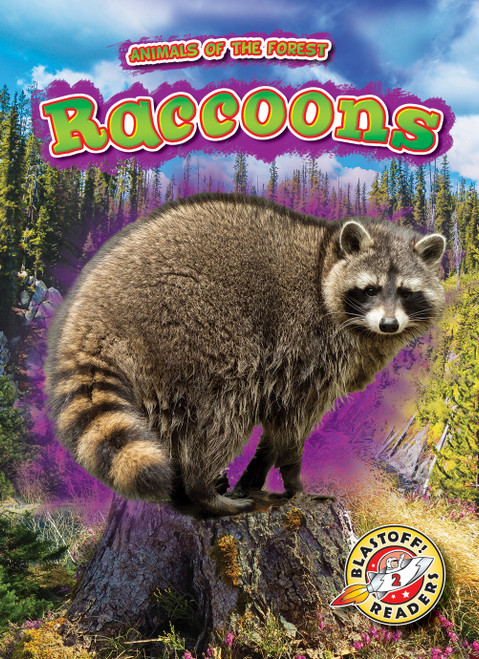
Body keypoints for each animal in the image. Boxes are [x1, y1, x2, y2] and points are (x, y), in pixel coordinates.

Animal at [45, 194, 446, 515]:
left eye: (406, 292)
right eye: (370, 289)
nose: (389, 325)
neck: (326, 262)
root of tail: (92, 310)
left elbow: (276, 422)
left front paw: (255, 475)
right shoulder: (309, 348)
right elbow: (292, 424)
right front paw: (294, 482)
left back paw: (187, 492)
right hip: (193, 329)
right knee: (221, 412)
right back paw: (202, 489)